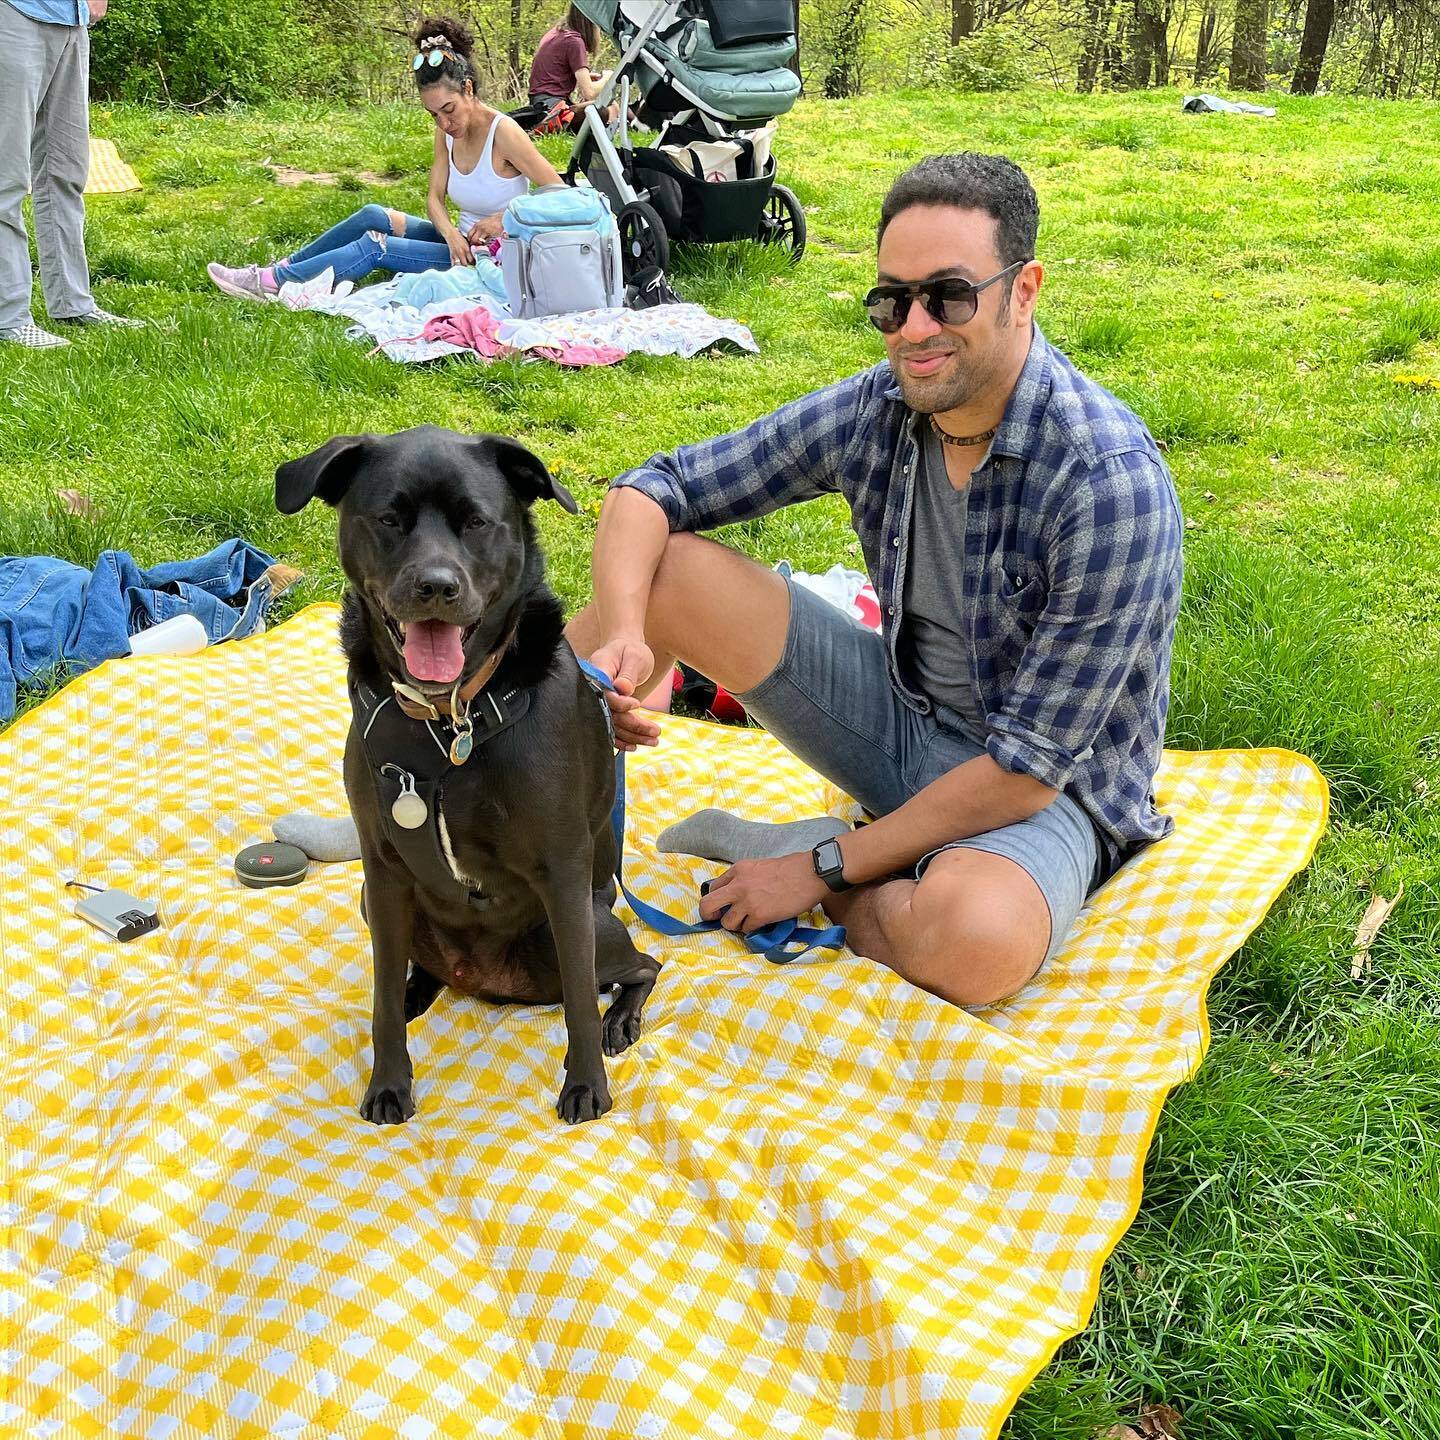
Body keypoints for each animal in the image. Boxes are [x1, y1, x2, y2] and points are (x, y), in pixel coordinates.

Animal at [272, 426, 659, 1123]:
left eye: (477, 521)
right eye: (389, 519)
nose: (435, 586)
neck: (450, 720)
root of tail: (487, 983)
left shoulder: (562, 868)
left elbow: (580, 1007)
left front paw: (586, 1085)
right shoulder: (382, 866)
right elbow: (380, 1004)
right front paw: (388, 1083)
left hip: (582, 926)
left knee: (641, 967)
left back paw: (621, 1019)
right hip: (375, 901)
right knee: (412, 972)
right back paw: (417, 990)